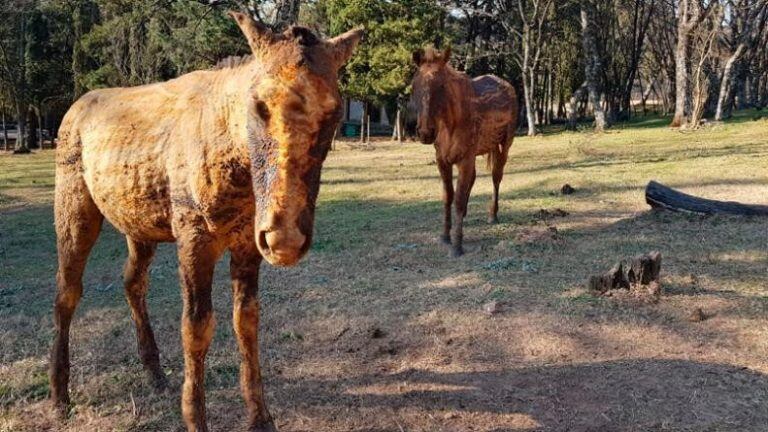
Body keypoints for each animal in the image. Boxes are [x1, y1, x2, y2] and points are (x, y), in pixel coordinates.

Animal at [49, 11, 362, 430]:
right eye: (258, 104)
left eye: (334, 111)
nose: (284, 238)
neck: (238, 168)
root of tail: (74, 111)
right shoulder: (194, 238)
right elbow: (196, 327)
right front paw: (195, 417)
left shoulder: (247, 243)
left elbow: (246, 321)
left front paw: (260, 416)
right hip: (75, 207)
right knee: (67, 290)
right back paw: (59, 396)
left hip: (139, 227)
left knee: (133, 282)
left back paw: (155, 373)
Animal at [412, 47, 520, 256]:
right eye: (415, 85)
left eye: (442, 86)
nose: (425, 133)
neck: (451, 124)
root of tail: (507, 86)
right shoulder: (442, 161)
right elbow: (448, 196)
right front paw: (445, 235)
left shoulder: (465, 160)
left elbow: (459, 199)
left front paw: (457, 245)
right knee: (475, 178)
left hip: (504, 145)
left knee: (496, 177)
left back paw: (492, 214)